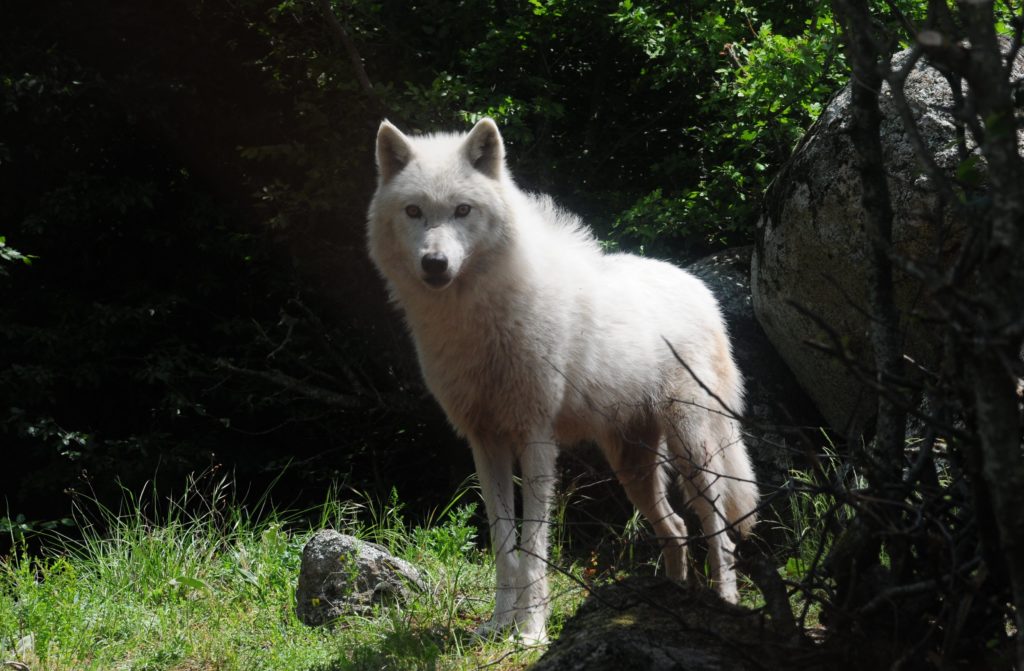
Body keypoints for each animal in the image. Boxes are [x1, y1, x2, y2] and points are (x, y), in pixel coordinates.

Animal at [368, 118, 761, 643]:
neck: (474, 320)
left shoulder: (535, 439)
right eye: (413, 211)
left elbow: (534, 546)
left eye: (462, 210)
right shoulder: (485, 443)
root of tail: (703, 291)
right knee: (676, 528)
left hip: (694, 451)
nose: (435, 263)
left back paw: (725, 603)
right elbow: (503, 544)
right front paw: (497, 626)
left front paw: (531, 632)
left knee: (718, 532)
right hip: (633, 466)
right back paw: (669, 601)